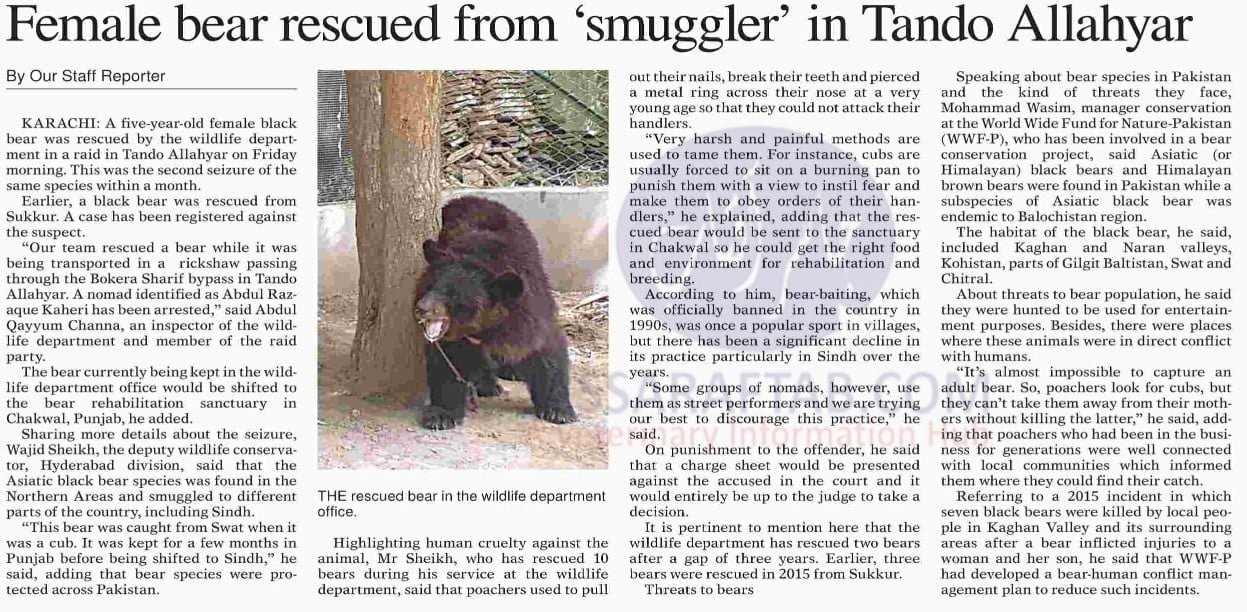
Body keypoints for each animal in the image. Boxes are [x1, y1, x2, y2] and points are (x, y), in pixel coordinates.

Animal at [414, 196, 577, 430]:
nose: (422, 308)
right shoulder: (455, 338)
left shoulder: (529, 308)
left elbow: (547, 350)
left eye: (453, 294)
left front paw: (559, 411)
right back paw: (489, 384)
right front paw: (441, 415)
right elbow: (447, 362)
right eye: (431, 285)